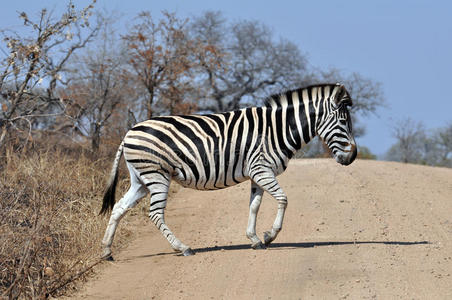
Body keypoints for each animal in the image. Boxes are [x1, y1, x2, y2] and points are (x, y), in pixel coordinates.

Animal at [99, 83, 356, 258]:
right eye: (344, 123)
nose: (352, 156)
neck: (277, 129)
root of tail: (129, 132)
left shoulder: (257, 173)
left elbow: (254, 206)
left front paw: (254, 239)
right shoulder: (262, 169)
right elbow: (283, 199)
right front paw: (269, 236)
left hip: (141, 180)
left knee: (119, 207)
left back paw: (106, 251)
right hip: (156, 175)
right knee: (154, 213)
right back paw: (183, 247)